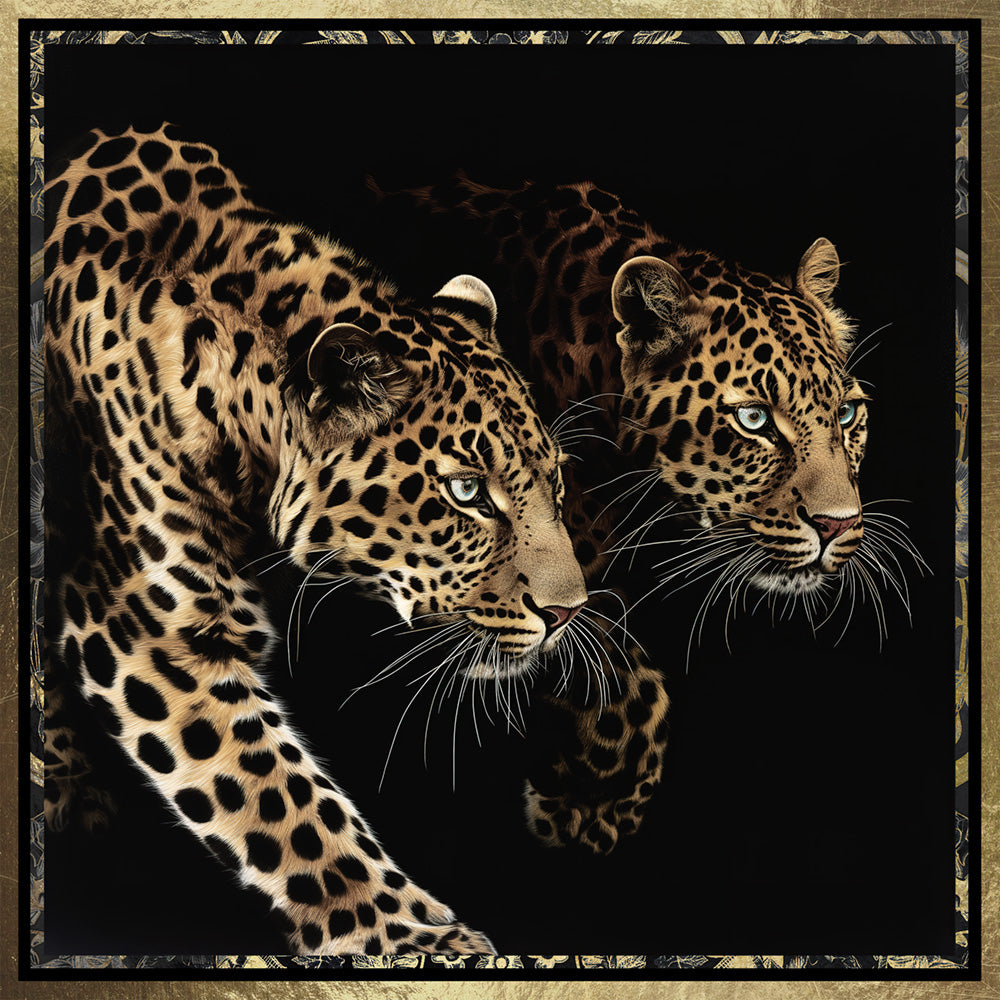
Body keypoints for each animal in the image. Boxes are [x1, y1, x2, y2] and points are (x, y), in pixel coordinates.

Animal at [41, 125, 590, 956]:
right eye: (466, 492)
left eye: (553, 480)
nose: (570, 613)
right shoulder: (145, 627)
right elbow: (284, 803)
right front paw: (414, 938)